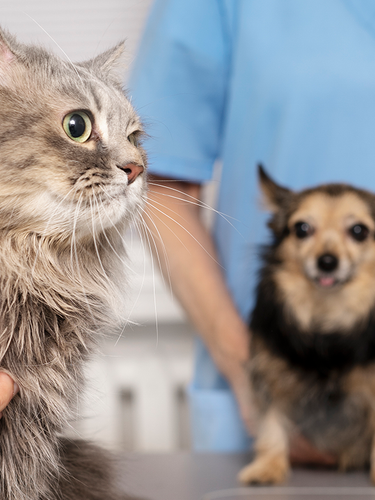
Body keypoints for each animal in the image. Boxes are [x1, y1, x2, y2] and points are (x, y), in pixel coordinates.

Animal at [239, 167, 375, 484]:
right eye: (302, 229)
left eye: (359, 231)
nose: (326, 262)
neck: (325, 320)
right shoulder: (271, 375)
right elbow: (272, 422)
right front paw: (269, 466)